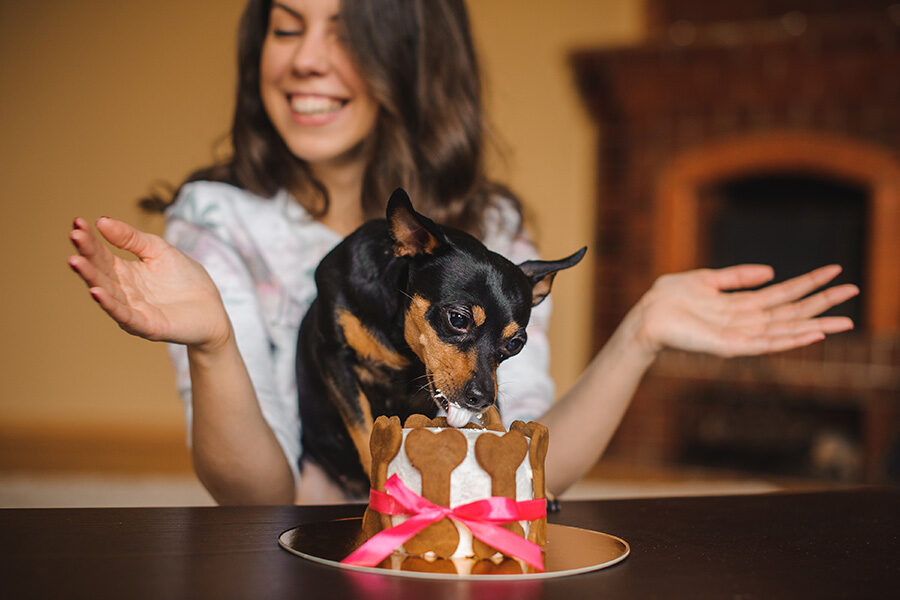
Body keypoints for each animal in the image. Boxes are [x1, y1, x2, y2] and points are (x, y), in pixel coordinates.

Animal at [296, 189, 584, 496]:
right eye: (457, 319)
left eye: (514, 345)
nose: (481, 398)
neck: (402, 342)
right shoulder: (336, 359)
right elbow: (363, 429)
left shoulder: (490, 381)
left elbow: (496, 419)